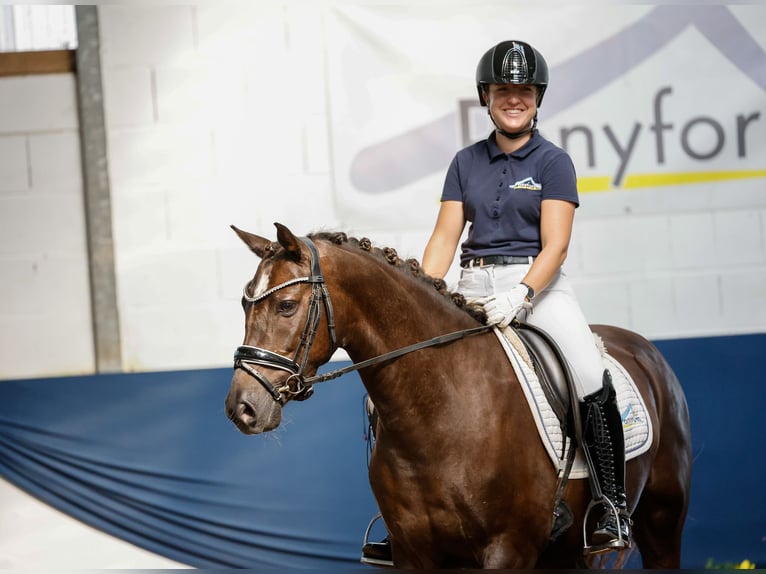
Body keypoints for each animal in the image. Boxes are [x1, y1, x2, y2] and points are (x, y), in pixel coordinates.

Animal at [224, 223, 696, 568]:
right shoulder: (415, 555)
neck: (437, 410)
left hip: (660, 522)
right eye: (245, 306)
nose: (241, 409)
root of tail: (643, 348)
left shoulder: (507, 551)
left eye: (286, 306)